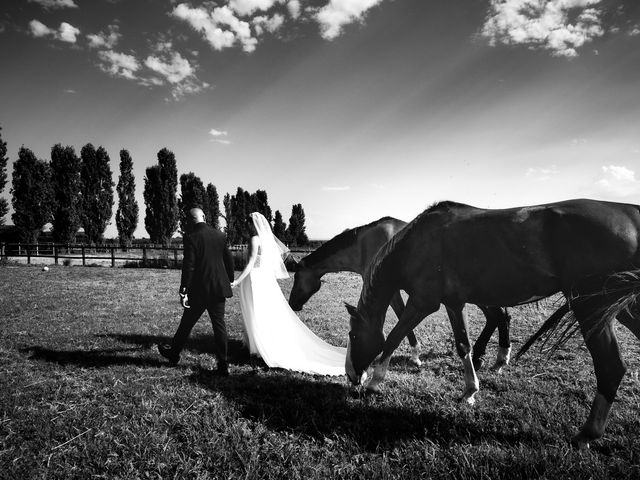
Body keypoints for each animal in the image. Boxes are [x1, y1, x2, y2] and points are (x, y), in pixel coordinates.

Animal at [288, 218, 512, 372]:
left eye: (297, 276)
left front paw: (415, 355)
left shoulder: (391, 289)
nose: (292, 304)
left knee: (499, 316)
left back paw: (496, 358)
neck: (364, 244)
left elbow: (401, 317)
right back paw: (487, 357)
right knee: (497, 317)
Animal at [344, 198, 640, 446]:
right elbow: (463, 345)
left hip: (592, 307)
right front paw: (470, 391)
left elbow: (394, 336)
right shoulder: (453, 303)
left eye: (353, 336)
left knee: (611, 367)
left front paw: (375, 382)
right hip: (620, 306)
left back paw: (586, 434)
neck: (416, 244)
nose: (351, 376)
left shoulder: (422, 302)